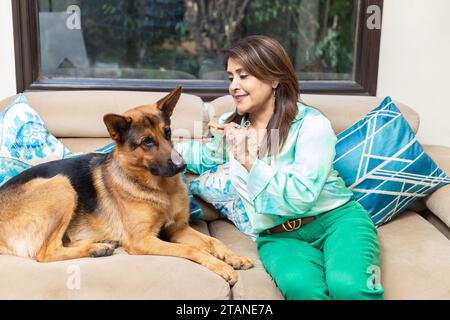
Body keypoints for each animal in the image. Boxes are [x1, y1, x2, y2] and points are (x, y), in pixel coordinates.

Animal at [0, 86, 253, 284]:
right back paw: (95, 248)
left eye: (168, 132)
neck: (159, 188)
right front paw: (221, 266)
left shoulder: (178, 229)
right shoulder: (143, 241)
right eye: (147, 142)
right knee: (45, 253)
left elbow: (213, 240)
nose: (182, 165)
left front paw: (233, 256)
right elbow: (192, 249)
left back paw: (101, 243)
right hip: (61, 185)